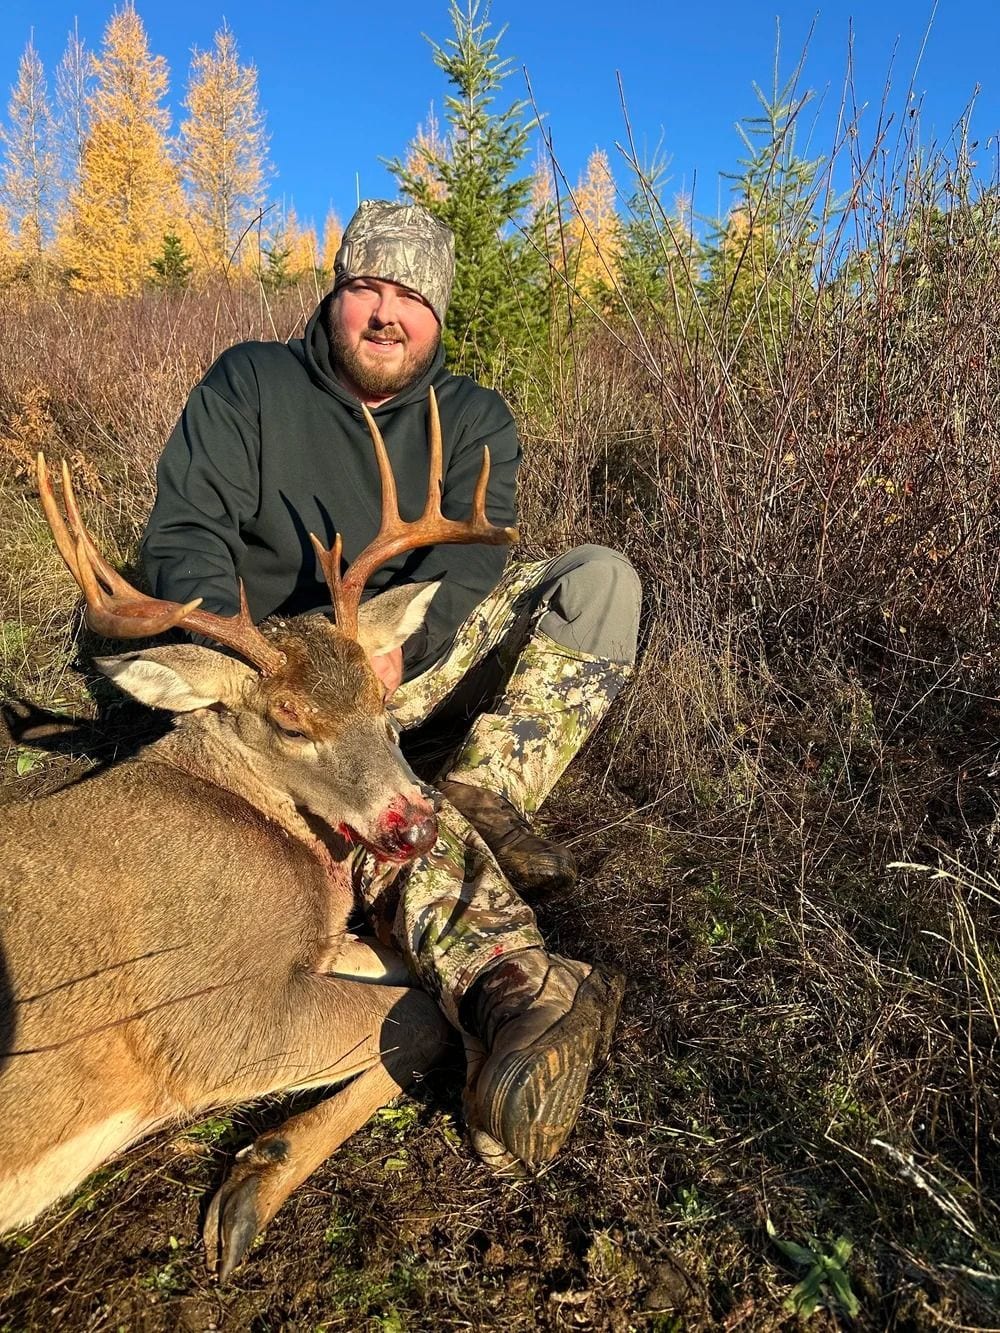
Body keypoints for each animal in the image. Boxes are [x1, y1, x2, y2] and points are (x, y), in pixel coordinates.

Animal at [0, 386, 517, 1282]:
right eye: (288, 719)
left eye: (382, 698)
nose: (416, 823)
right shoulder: (205, 1018)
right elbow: (415, 1015)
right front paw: (252, 1183)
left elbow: (400, 969)